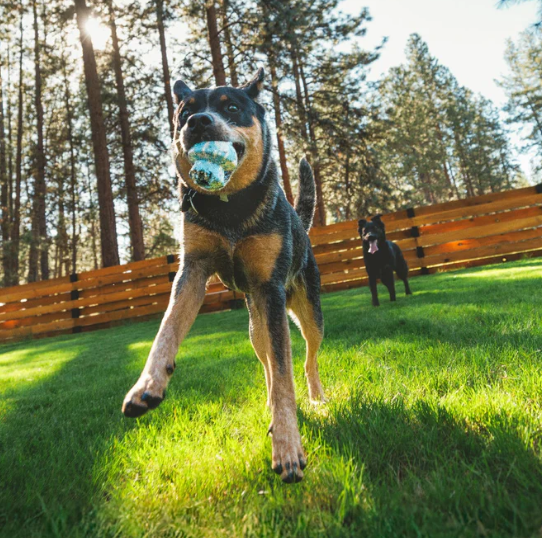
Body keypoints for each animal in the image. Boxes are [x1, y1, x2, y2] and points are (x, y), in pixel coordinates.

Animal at [122, 68, 328, 482]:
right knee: (267, 362)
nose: (199, 123)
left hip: (307, 312)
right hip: (255, 327)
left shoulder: (270, 288)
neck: (229, 209)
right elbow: (166, 331)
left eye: (231, 107)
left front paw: (288, 448)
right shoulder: (192, 270)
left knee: (306, 358)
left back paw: (316, 397)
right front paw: (147, 386)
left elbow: (285, 375)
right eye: (185, 111)